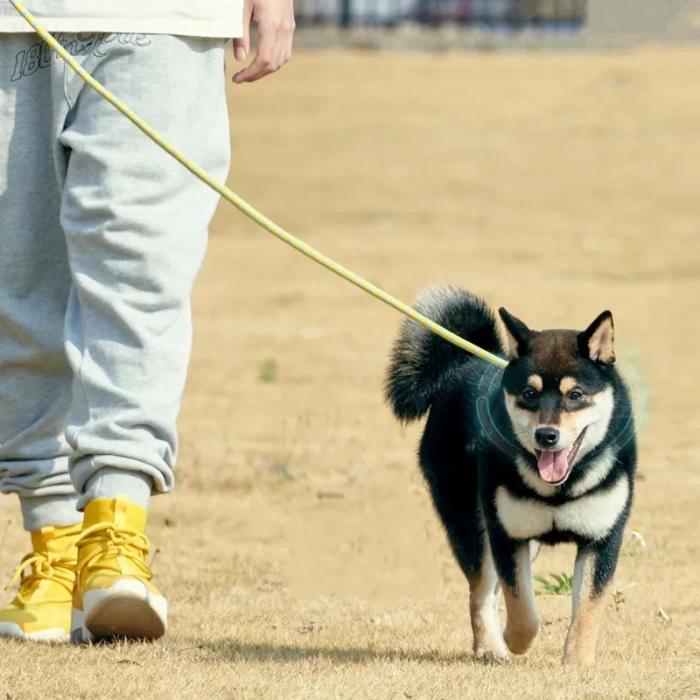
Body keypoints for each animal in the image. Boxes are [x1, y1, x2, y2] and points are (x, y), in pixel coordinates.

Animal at [386, 284, 636, 668]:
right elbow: (522, 608)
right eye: (529, 393)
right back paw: (491, 647)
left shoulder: (602, 538)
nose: (546, 436)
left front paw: (577, 662)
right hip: (471, 523)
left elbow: (588, 608)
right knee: (481, 591)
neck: (560, 488)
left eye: (575, 395)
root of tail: (465, 361)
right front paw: (515, 641)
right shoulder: (507, 533)